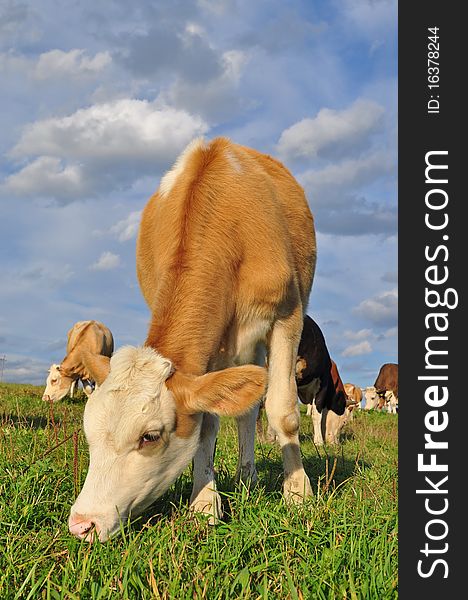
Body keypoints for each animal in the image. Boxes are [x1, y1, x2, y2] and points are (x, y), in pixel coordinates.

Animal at [69, 137, 316, 544]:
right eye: (89, 433)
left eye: (150, 437)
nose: (82, 524)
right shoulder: (211, 345)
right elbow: (208, 425)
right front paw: (204, 505)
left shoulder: (287, 314)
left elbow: (283, 411)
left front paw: (298, 495)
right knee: (245, 410)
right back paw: (245, 479)